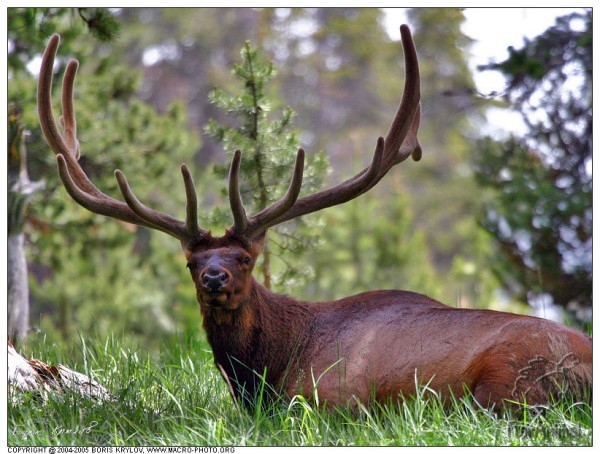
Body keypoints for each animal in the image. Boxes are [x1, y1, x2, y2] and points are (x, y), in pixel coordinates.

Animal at [37, 26, 592, 414]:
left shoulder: (331, 403)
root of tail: (585, 371)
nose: (215, 277)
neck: (271, 370)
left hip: (506, 386)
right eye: (192, 263)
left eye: (244, 257)